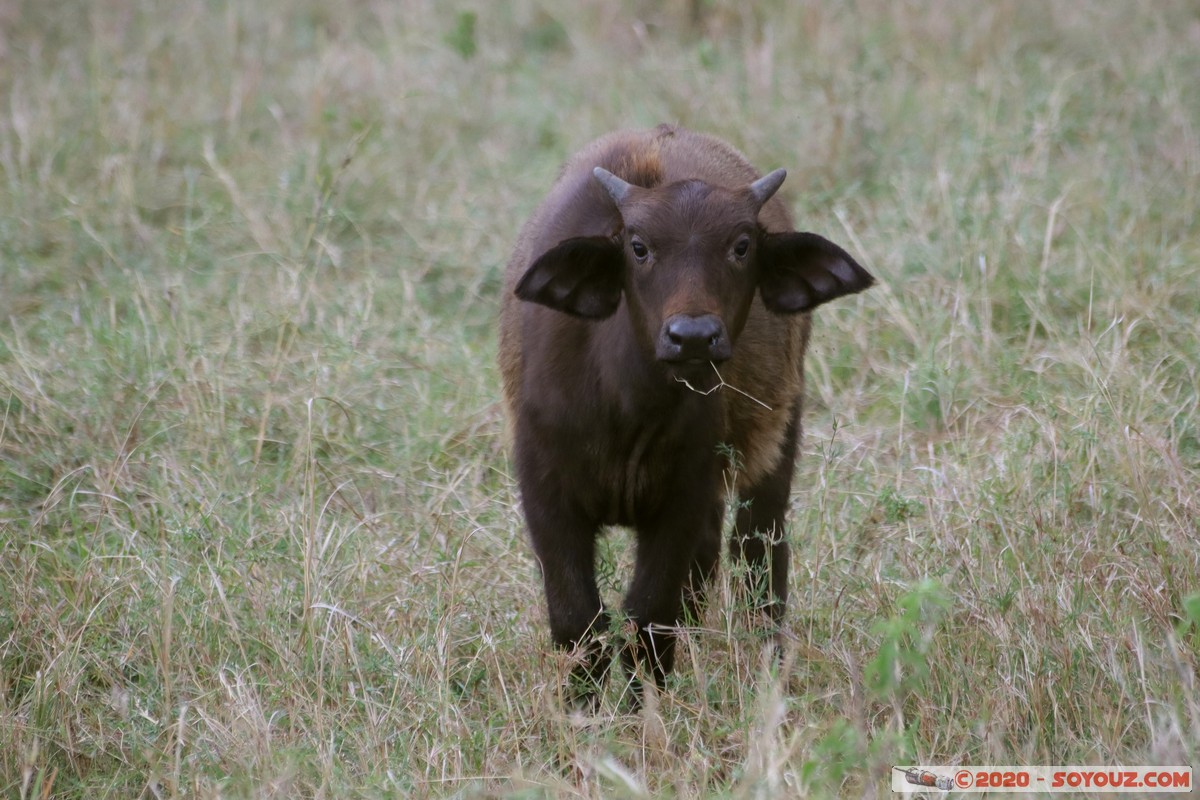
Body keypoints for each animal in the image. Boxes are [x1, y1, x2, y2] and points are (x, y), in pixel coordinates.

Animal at [496, 122, 873, 705]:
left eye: (741, 245)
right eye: (639, 246)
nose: (692, 336)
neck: (628, 409)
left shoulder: (683, 497)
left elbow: (649, 615)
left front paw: (642, 704)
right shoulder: (545, 496)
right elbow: (578, 619)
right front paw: (584, 709)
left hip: (779, 436)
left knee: (758, 552)